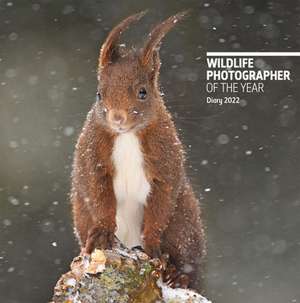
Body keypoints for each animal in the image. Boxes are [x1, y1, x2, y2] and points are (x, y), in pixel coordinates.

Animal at [70, 11, 206, 292]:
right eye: (99, 94)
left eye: (143, 92)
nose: (117, 117)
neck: (127, 137)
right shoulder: (92, 158)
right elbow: (99, 196)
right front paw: (102, 233)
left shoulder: (166, 161)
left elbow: (161, 203)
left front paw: (152, 245)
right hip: (81, 213)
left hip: (184, 222)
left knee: (187, 256)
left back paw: (179, 275)